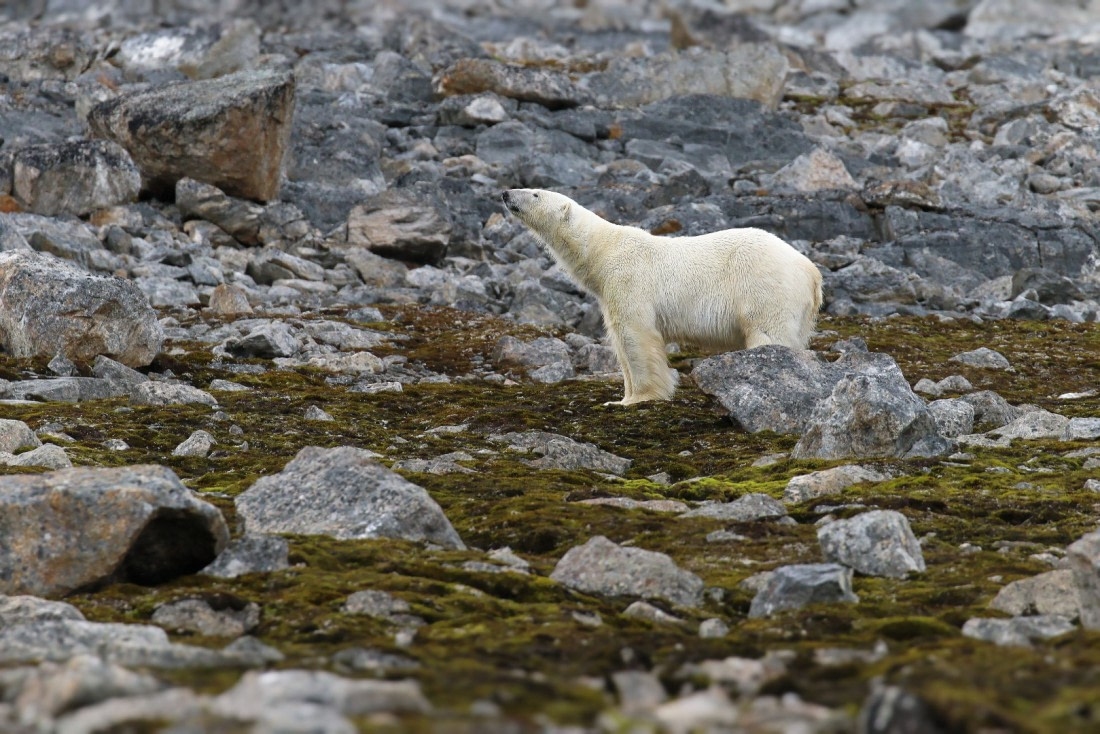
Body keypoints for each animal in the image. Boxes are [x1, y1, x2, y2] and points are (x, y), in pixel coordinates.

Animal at [502, 188, 823, 405]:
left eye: (536, 194)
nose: (506, 193)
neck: (603, 250)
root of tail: (812, 272)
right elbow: (619, 343)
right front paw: (620, 398)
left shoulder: (628, 279)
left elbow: (636, 336)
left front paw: (641, 397)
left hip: (765, 288)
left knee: (769, 334)